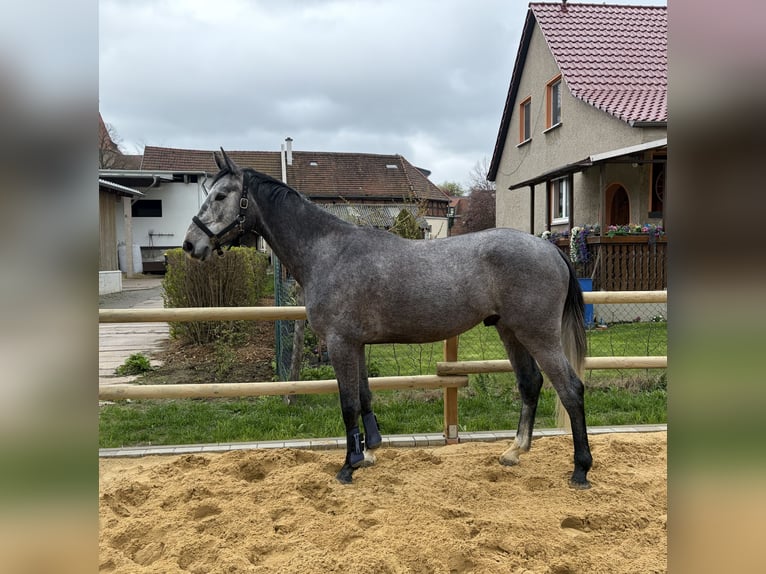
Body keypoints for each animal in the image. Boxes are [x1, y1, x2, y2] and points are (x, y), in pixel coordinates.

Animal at [183, 149, 593, 489]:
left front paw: (348, 466)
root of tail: (549, 249)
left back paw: (580, 470)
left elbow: (348, 403)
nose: (190, 245)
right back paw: (514, 451)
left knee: (571, 389)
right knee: (530, 383)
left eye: (220, 196)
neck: (328, 250)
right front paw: (368, 452)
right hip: (509, 331)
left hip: (538, 334)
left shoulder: (340, 343)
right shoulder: (356, 344)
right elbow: (364, 396)